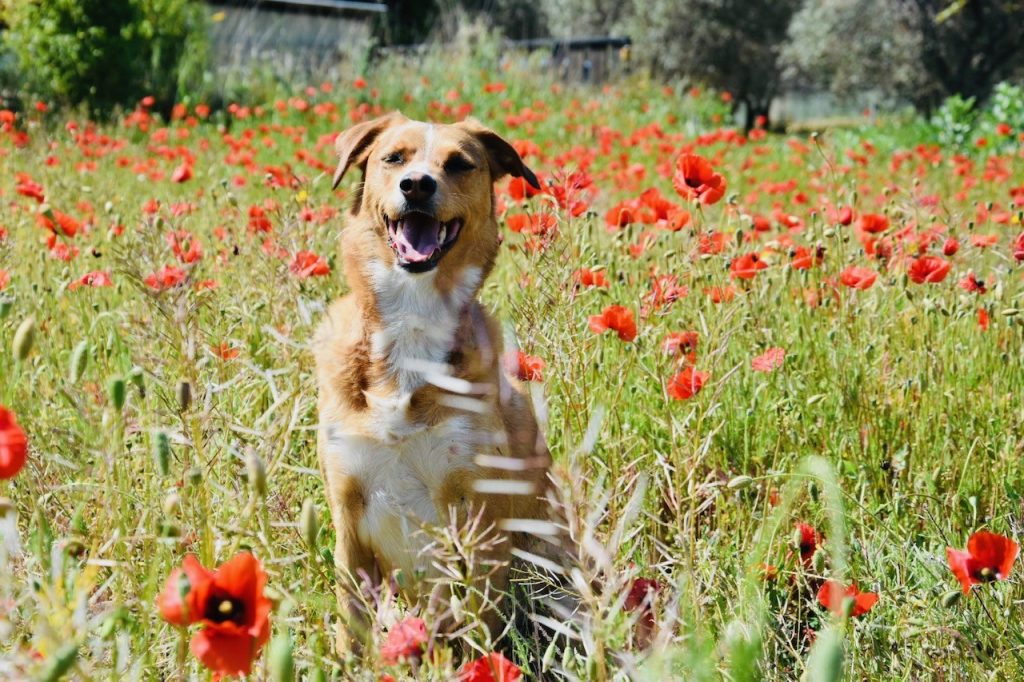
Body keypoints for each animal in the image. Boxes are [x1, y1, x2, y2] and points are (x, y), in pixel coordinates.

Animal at [311, 112, 552, 647]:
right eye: (394, 157)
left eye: (459, 163)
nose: (417, 184)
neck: (412, 318)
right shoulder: (348, 513)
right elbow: (350, 627)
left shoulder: (477, 514)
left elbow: (478, 623)